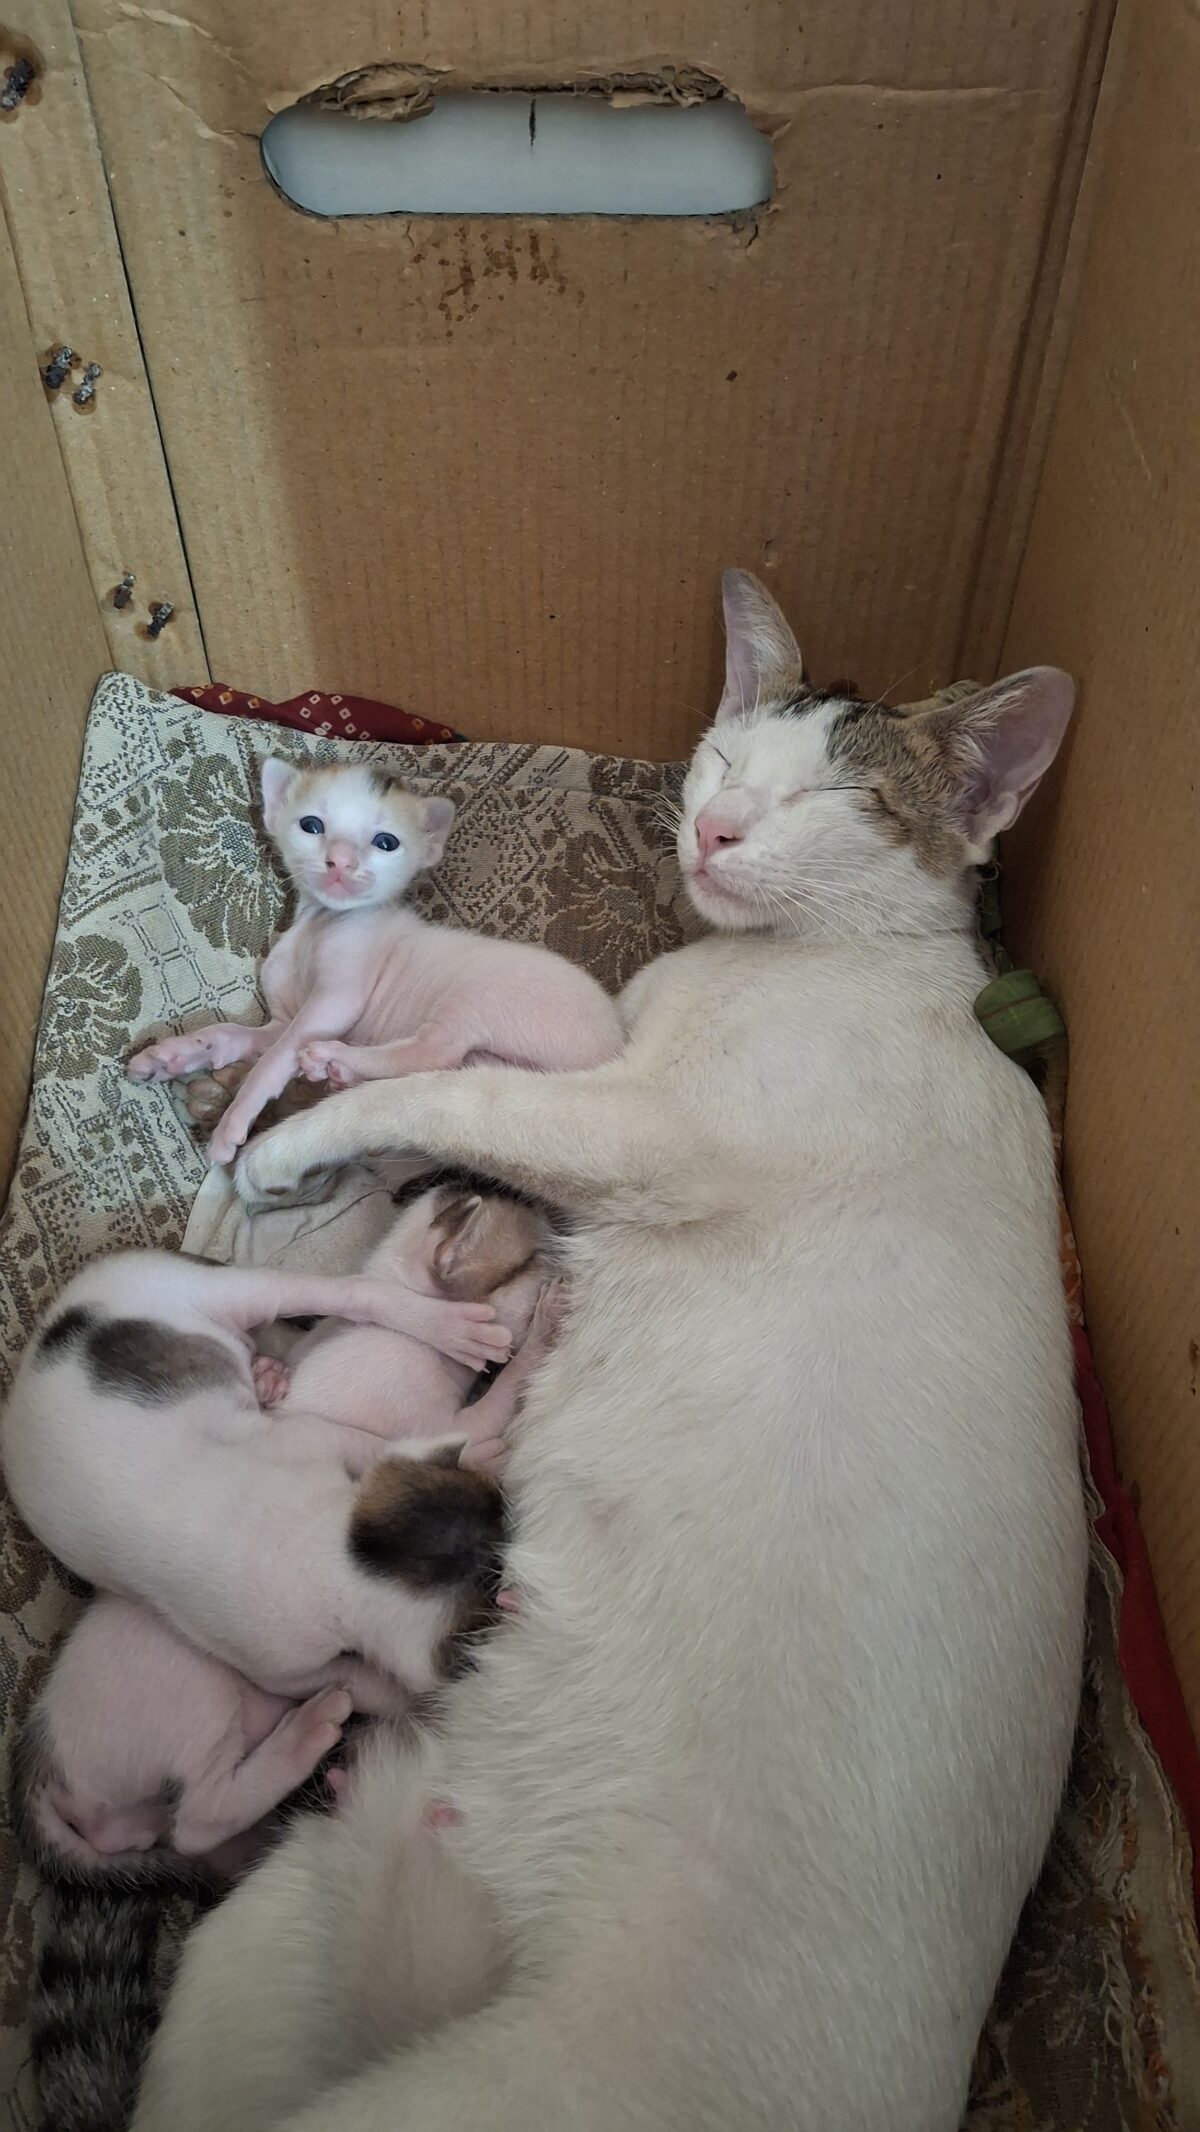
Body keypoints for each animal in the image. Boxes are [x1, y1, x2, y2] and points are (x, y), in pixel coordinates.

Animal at [126, 760, 624, 1167]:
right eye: (311, 825)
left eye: (386, 843)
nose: (340, 861)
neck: (321, 922)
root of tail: (613, 1052)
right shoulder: (284, 1017)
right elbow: (239, 1034)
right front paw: (177, 1053)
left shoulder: (334, 1002)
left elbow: (272, 1060)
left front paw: (234, 1121)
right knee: (450, 1069)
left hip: (477, 994)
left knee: (437, 1051)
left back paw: (335, 1058)